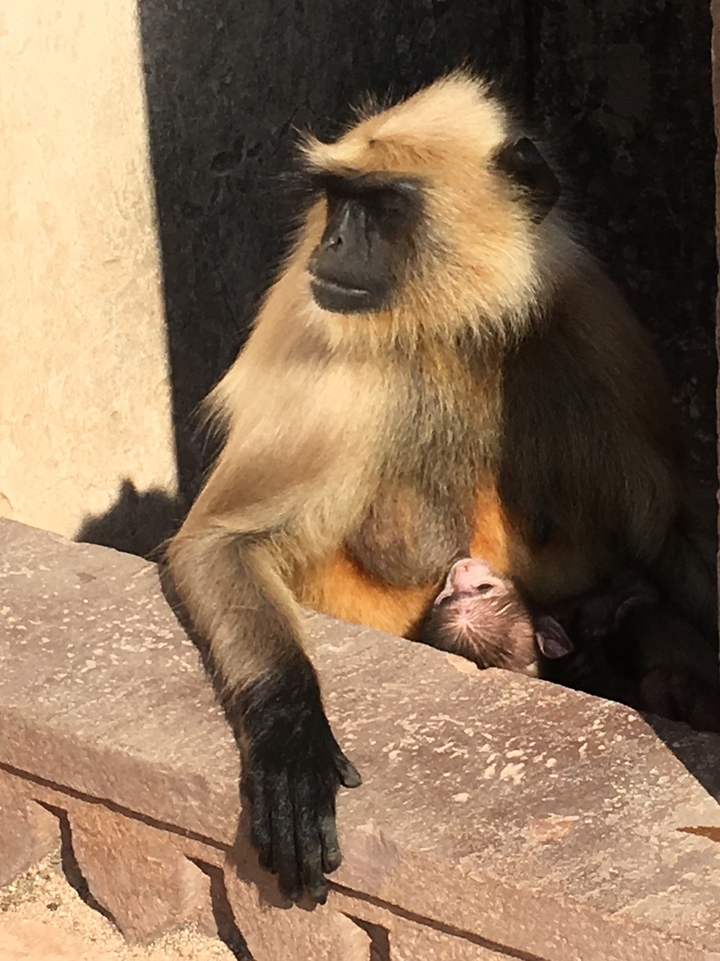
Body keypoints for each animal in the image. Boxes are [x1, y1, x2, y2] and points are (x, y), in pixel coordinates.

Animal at [167, 72, 717, 903]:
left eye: (383, 206)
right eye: (338, 198)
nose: (332, 242)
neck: (458, 326)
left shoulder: (595, 322)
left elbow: (676, 534)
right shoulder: (330, 360)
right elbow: (217, 543)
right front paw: (291, 740)